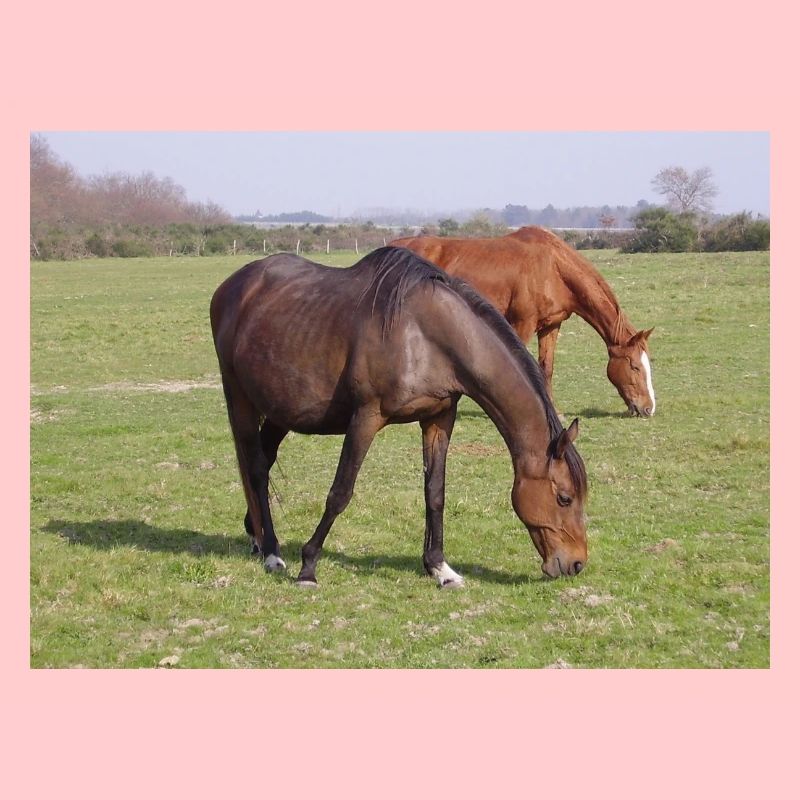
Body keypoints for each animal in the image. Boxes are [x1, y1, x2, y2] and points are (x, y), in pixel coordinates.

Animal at [210, 246, 588, 587]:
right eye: (564, 498)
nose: (576, 564)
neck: (423, 335)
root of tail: (231, 286)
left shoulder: (439, 418)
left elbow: (435, 493)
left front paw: (439, 567)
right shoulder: (366, 417)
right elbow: (340, 492)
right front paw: (309, 566)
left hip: (281, 410)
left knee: (263, 461)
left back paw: (257, 537)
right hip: (239, 398)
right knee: (256, 470)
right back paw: (273, 552)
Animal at [390, 226, 656, 417]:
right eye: (634, 366)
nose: (648, 408)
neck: (553, 267)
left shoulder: (551, 325)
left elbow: (546, 368)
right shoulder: (523, 323)